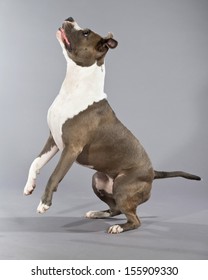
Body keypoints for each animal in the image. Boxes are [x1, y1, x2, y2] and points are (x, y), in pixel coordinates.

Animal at [23, 17, 201, 234]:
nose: (70, 18)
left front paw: (44, 203)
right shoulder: (53, 140)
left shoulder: (71, 148)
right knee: (115, 208)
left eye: (86, 33)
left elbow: (54, 176)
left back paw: (118, 227)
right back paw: (98, 213)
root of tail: (153, 172)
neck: (75, 86)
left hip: (123, 187)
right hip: (98, 179)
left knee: (134, 219)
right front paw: (29, 186)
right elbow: (36, 162)